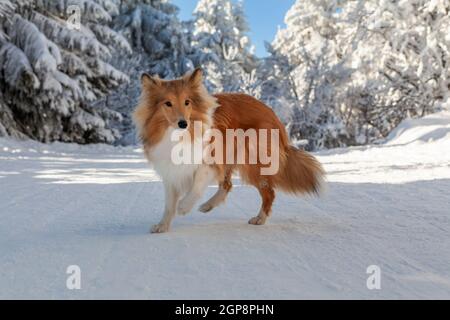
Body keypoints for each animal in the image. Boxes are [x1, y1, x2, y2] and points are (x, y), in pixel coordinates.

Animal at [133, 68, 324, 232]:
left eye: (187, 102)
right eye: (168, 103)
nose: (183, 123)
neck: (179, 136)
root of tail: (271, 113)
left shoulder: (209, 159)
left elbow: (196, 185)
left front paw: (183, 207)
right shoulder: (171, 171)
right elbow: (169, 203)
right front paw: (162, 226)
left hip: (251, 158)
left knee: (268, 192)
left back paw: (259, 219)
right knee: (227, 184)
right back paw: (207, 206)